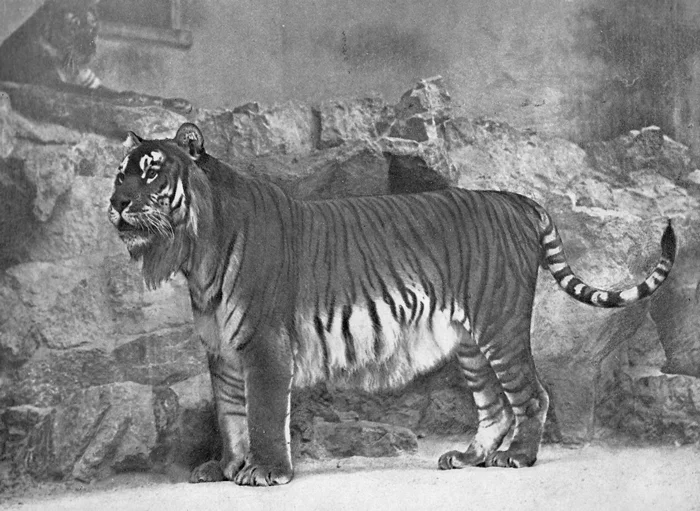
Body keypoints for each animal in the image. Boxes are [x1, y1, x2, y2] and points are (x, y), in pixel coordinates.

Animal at [108, 122, 676, 486]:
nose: (115, 203)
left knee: (531, 396)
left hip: (501, 325)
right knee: (493, 407)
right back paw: (467, 457)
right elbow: (229, 414)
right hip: (471, 342)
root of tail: (517, 199)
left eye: (152, 172)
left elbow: (264, 413)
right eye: (120, 174)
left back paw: (518, 458)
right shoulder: (221, 349)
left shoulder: (264, 344)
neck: (195, 253)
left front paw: (266, 472)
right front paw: (225, 467)